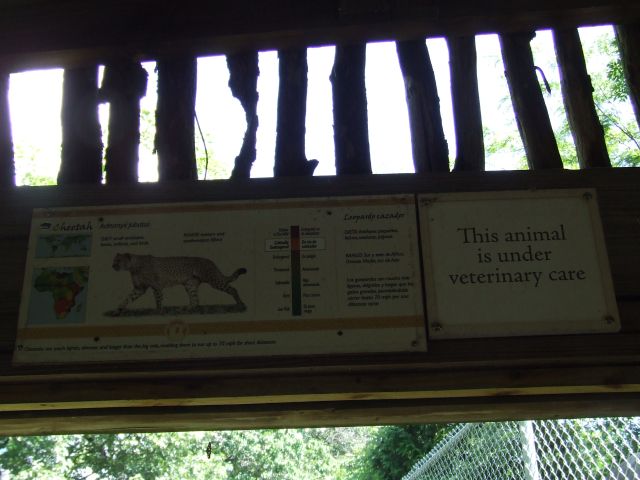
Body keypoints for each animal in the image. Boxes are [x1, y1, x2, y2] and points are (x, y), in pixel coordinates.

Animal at [112, 253, 247, 312]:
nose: (112, 266)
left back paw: (240, 304)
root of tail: (210, 261)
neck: (133, 266)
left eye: (118, 261)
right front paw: (119, 308)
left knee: (232, 289)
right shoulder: (139, 288)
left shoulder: (156, 286)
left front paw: (158, 311)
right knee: (195, 300)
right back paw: (187, 308)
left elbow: (158, 299)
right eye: (114, 260)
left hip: (213, 279)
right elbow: (129, 297)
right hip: (190, 284)